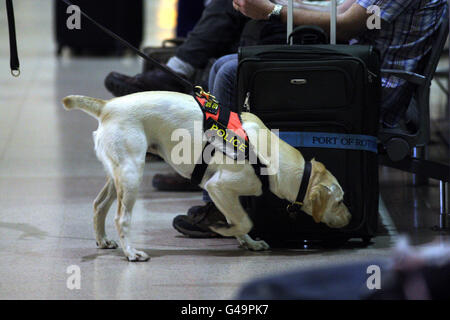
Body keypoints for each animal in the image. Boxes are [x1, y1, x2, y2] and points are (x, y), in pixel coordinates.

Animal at [62, 91, 352, 262]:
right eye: (339, 201)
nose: (350, 218)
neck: (267, 154)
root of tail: (107, 106)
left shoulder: (226, 195)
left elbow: (240, 220)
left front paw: (247, 242)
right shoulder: (218, 186)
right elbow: (244, 221)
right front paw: (222, 230)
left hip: (118, 174)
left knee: (99, 205)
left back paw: (102, 240)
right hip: (132, 173)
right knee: (121, 218)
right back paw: (131, 252)